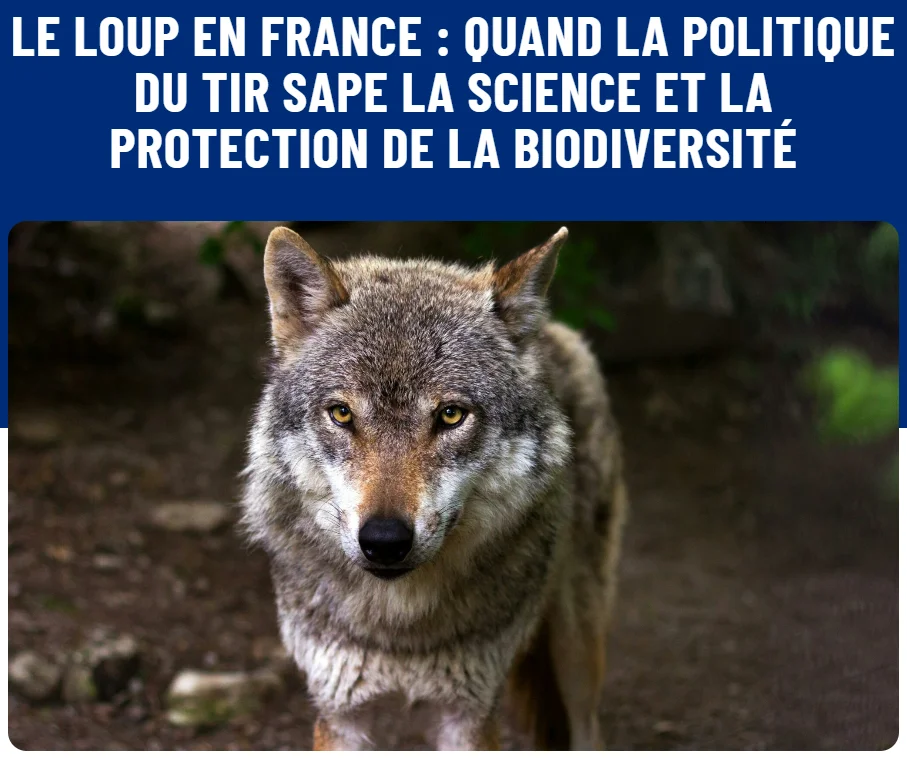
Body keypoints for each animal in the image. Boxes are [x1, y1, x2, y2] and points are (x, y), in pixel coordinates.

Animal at [241, 225, 628, 750]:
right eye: (341, 413)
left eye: (450, 415)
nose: (384, 540)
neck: (401, 629)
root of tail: (552, 331)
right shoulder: (340, 714)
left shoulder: (469, 716)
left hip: (577, 650)